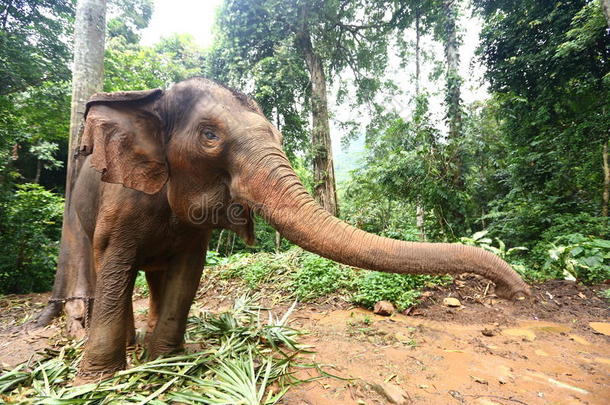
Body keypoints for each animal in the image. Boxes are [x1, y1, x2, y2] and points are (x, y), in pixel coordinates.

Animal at [52, 77, 528, 380]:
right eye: (209, 135)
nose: (518, 293)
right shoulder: (121, 200)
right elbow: (116, 260)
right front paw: (97, 381)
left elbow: (188, 271)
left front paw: (168, 365)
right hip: (78, 210)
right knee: (105, 269)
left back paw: (148, 348)